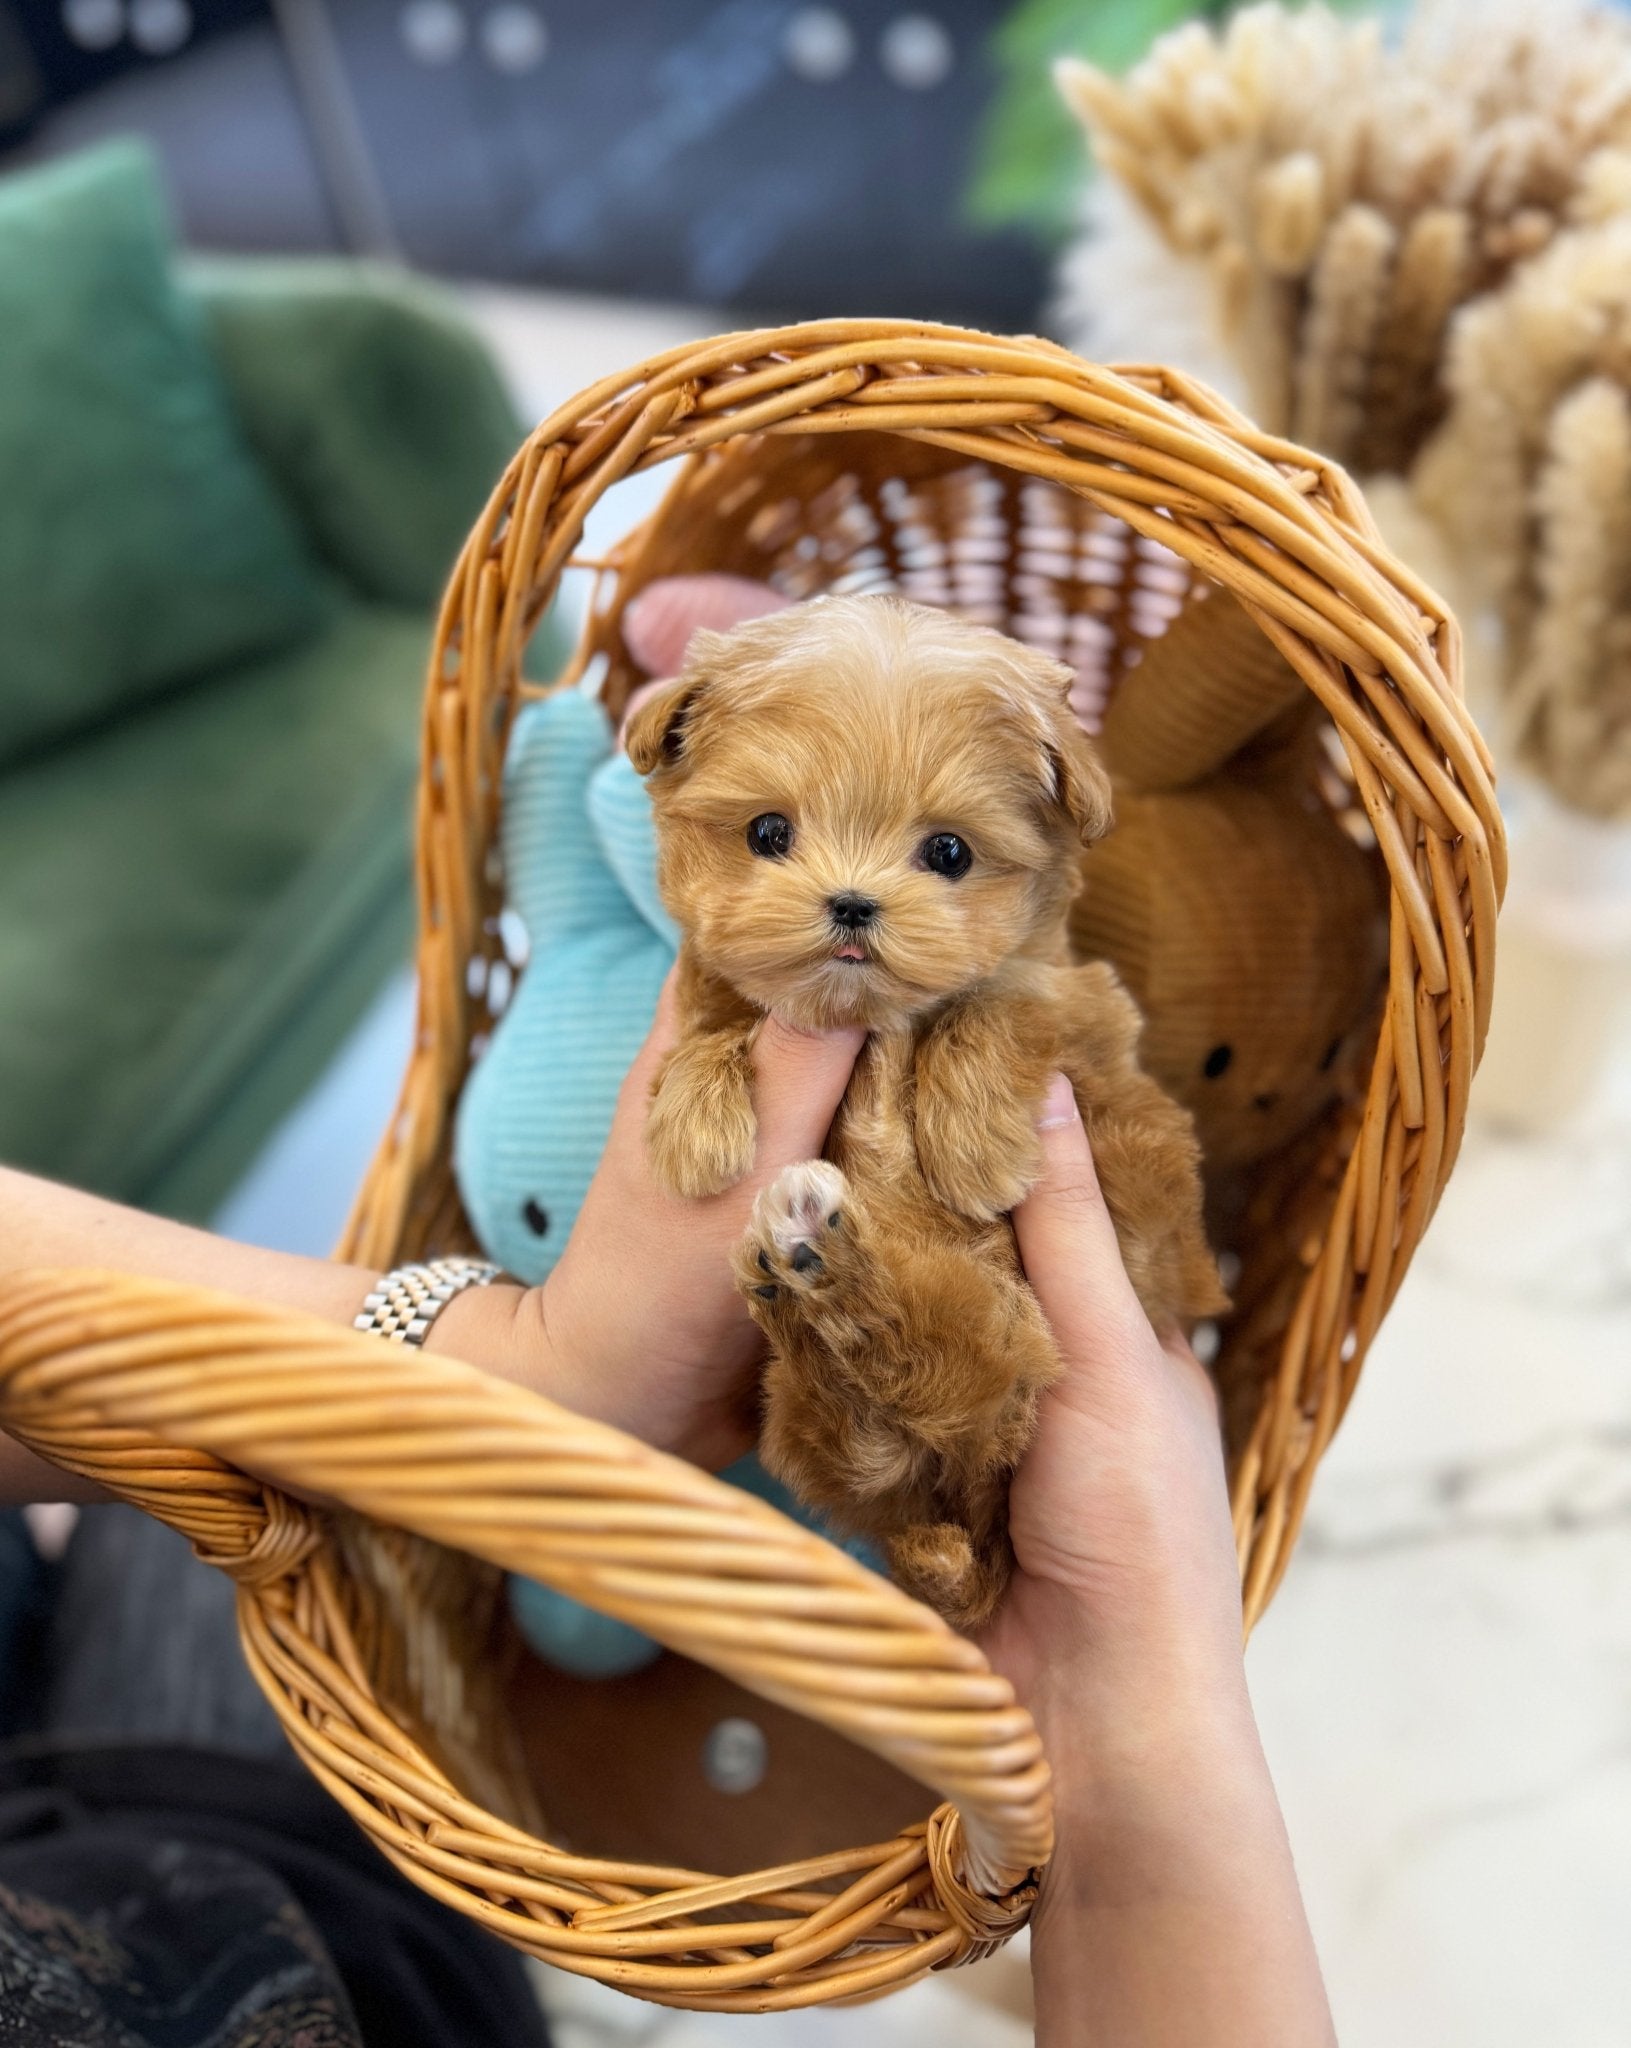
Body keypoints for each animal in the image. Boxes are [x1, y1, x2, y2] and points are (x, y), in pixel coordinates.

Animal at [622, 598, 1221, 1630]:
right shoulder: (727, 989)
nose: (852, 903)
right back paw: (795, 1270)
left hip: (1009, 1334)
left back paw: (821, 1255)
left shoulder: (1082, 1009)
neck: (866, 1024)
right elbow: (717, 1014)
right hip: (845, 1407)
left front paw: (974, 1149)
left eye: (949, 853)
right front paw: (696, 1124)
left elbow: (995, 1008)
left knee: (924, 1343)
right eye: (768, 832)